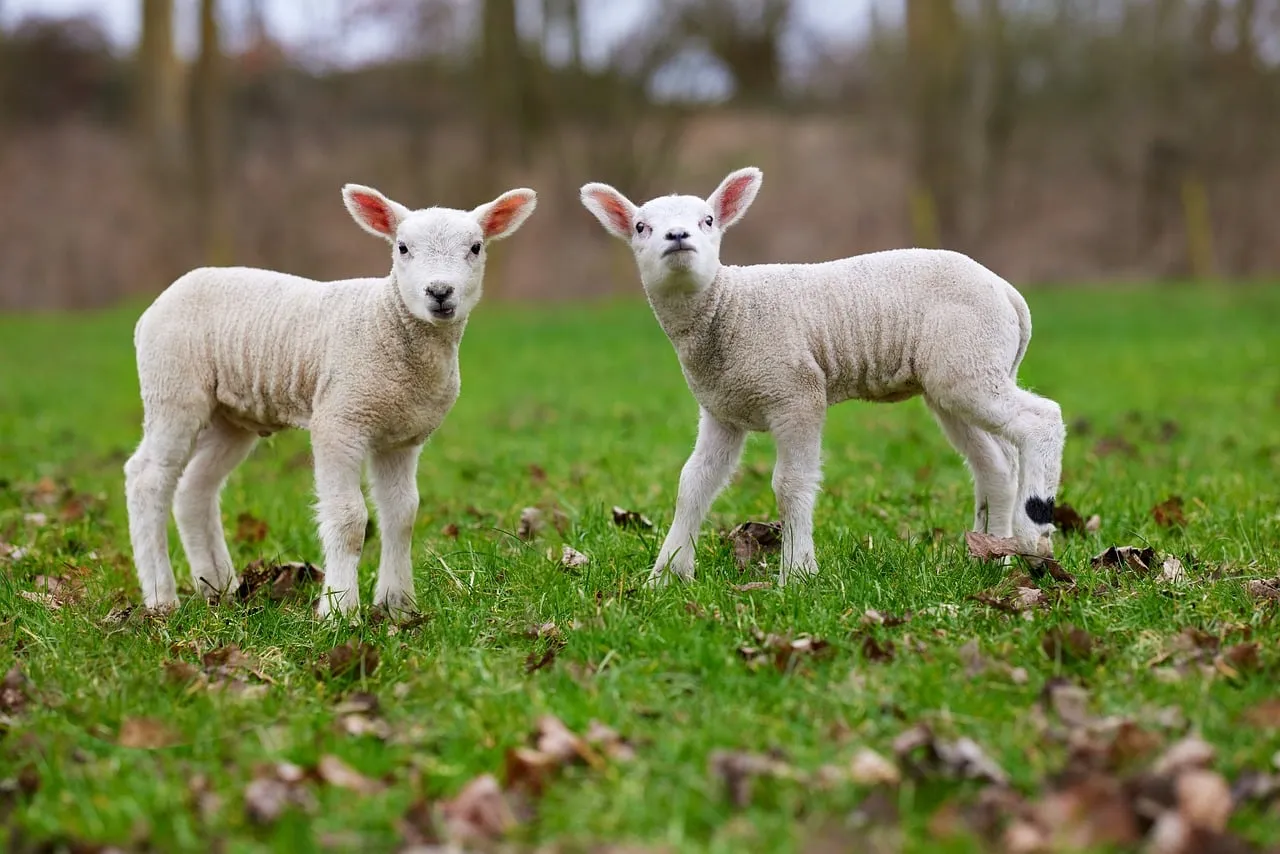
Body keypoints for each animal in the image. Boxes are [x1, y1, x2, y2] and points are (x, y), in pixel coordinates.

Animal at [124, 182, 537, 617]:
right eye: (402, 247)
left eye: (476, 247)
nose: (440, 292)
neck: (386, 320)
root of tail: (160, 300)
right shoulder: (340, 421)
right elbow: (350, 518)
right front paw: (339, 611)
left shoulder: (402, 437)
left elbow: (402, 514)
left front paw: (397, 606)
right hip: (172, 384)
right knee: (147, 478)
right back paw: (161, 598)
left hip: (231, 415)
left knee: (194, 488)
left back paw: (220, 588)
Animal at [580, 167, 1065, 585]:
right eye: (641, 227)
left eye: (708, 220)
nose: (678, 237)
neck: (727, 308)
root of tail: (1008, 293)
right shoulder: (722, 412)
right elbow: (693, 484)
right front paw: (666, 576)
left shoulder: (796, 393)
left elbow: (790, 484)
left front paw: (797, 573)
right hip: (955, 378)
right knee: (996, 463)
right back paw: (993, 558)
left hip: (969, 360)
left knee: (1041, 418)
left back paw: (1033, 533)